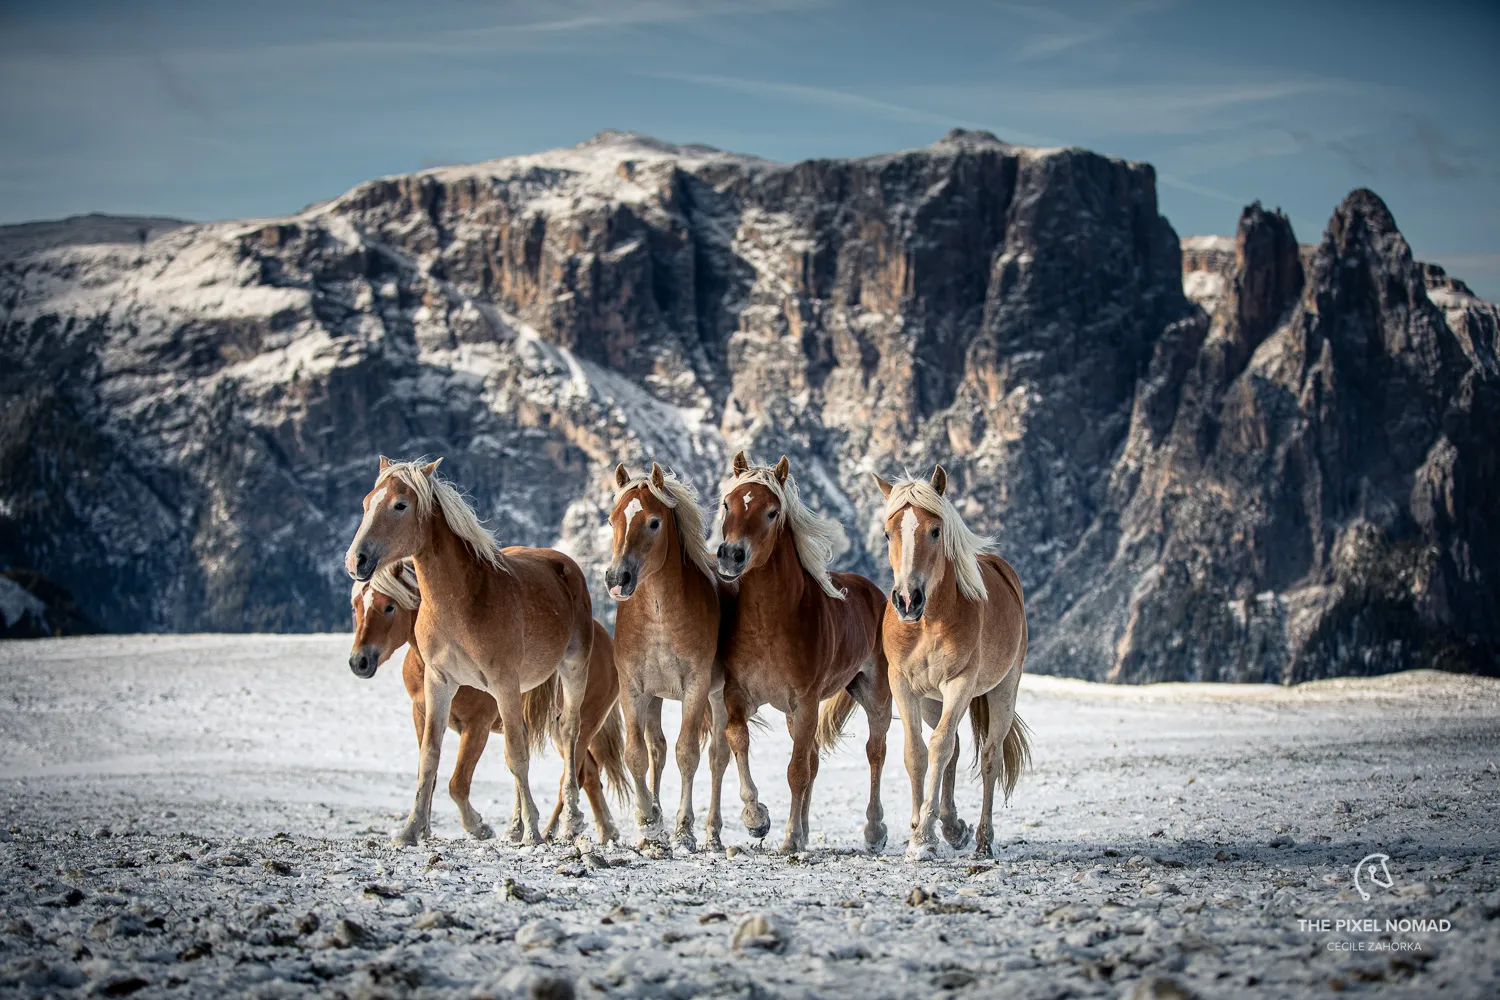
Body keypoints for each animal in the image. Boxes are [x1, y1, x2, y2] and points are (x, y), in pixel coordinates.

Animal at [344, 457, 596, 846]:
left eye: (400, 505)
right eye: (366, 502)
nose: (357, 560)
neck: (462, 602)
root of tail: (565, 565)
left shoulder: (500, 687)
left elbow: (516, 756)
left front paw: (532, 833)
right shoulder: (439, 684)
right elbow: (429, 758)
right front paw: (411, 829)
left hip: (572, 670)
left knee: (569, 736)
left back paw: (566, 822)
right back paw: (516, 824)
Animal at [347, 560, 630, 843]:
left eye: (389, 606)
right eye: (356, 606)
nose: (359, 661)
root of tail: (607, 641)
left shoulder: (477, 726)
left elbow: (458, 783)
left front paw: (479, 827)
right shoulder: (422, 714)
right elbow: (430, 770)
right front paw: (422, 829)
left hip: (582, 725)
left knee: (573, 776)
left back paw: (553, 830)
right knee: (590, 774)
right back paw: (603, 831)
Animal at [605, 462, 731, 853]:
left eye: (653, 522)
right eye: (612, 519)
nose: (617, 577)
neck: (658, 616)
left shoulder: (695, 688)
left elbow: (687, 753)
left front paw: (683, 831)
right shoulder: (632, 688)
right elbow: (637, 754)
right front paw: (649, 825)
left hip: (718, 696)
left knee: (718, 756)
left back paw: (713, 834)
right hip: (656, 697)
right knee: (657, 750)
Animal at [714, 452, 892, 855]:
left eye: (771, 511)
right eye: (728, 503)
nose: (731, 555)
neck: (770, 623)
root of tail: (874, 592)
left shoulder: (806, 701)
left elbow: (796, 771)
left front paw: (790, 837)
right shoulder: (740, 695)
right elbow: (738, 738)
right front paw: (756, 819)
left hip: (875, 695)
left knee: (875, 752)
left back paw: (874, 830)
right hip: (796, 714)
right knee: (813, 758)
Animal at [875, 465, 1032, 859]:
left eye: (935, 530)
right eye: (888, 533)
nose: (907, 600)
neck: (928, 622)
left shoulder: (959, 684)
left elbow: (940, 747)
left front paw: (922, 838)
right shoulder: (903, 684)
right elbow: (917, 752)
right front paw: (922, 829)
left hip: (1003, 691)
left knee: (989, 756)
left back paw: (982, 841)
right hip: (933, 701)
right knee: (956, 749)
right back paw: (952, 826)